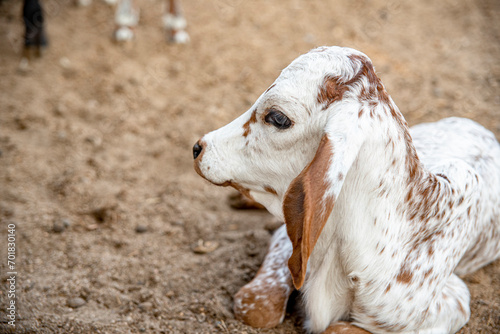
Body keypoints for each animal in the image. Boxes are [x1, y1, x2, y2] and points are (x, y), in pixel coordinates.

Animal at [192, 46, 500, 334]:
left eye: (278, 118)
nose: (199, 146)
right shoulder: (290, 239)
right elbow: (256, 308)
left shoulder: (450, 302)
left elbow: (336, 327)